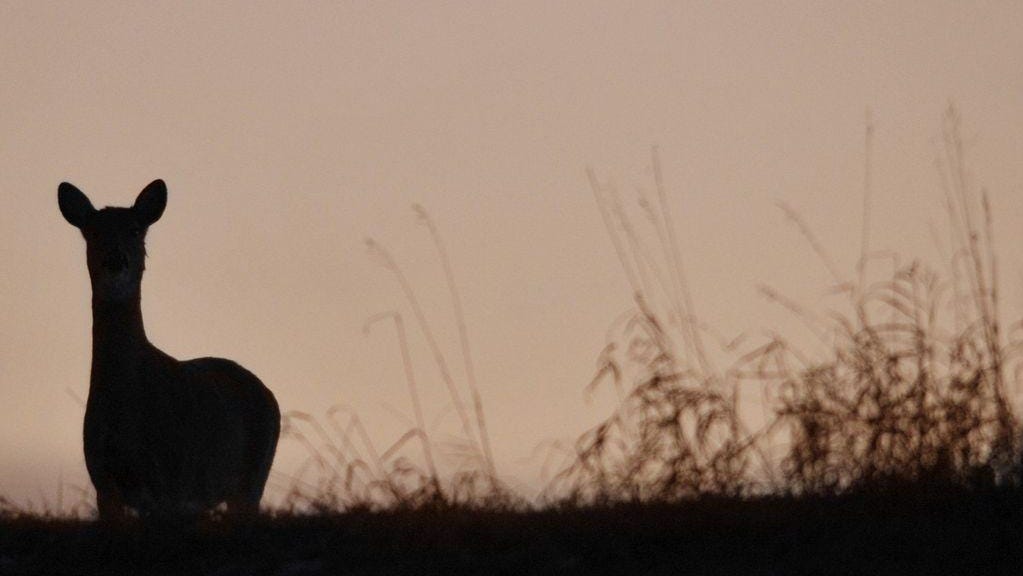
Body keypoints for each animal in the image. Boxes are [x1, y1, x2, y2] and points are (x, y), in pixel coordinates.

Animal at [58, 179, 280, 522]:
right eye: (93, 231)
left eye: (135, 229)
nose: (116, 260)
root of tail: (269, 395)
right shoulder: (104, 483)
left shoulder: (169, 484)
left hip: (252, 476)